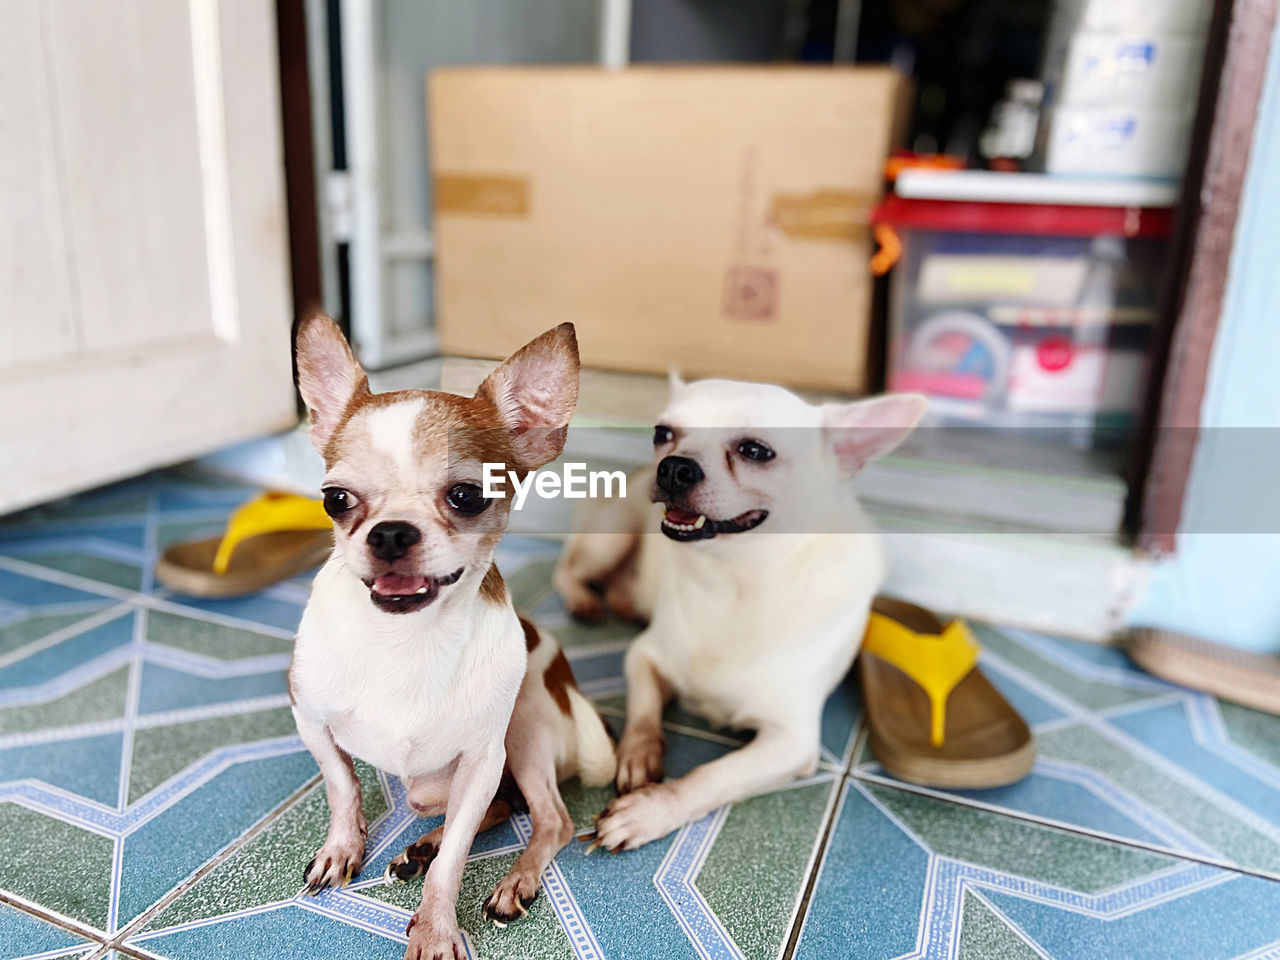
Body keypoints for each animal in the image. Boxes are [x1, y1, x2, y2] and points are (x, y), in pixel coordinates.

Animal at [290, 320, 614, 957]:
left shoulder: (482, 761)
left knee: (550, 817)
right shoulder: (310, 719)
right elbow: (342, 785)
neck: (405, 640)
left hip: (524, 728)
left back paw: (512, 881)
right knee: (505, 805)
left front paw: (437, 929)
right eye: (335, 499)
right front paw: (343, 847)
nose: (391, 532)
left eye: (466, 496)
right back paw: (421, 846)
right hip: (438, 786)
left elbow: (458, 860)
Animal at [555, 378, 926, 855]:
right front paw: (638, 754)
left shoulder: (791, 741)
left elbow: (711, 776)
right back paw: (583, 600)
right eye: (662, 433)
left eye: (755, 451)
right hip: (608, 540)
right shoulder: (643, 657)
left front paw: (648, 811)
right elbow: (642, 711)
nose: (673, 466)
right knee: (566, 568)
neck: (732, 580)